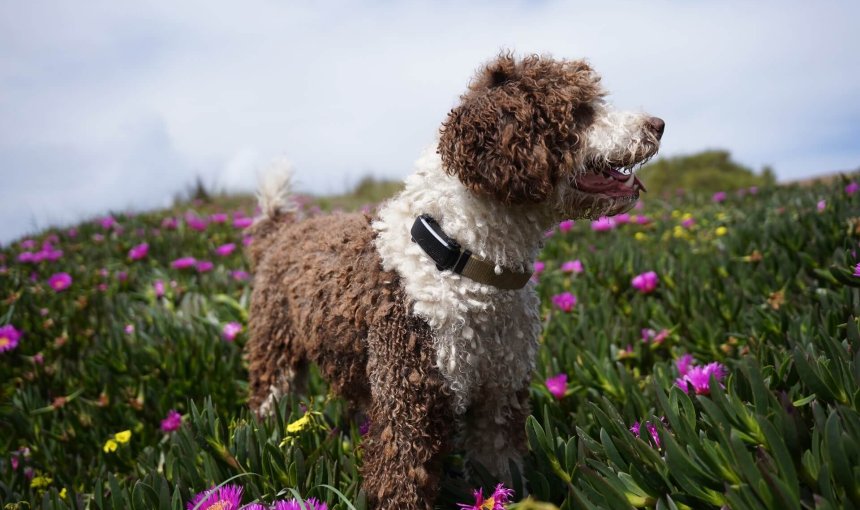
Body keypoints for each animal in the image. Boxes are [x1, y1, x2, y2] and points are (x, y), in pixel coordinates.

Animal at [245, 53, 660, 508]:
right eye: (580, 111)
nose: (657, 125)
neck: (466, 262)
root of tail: (280, 230)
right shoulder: (410, 406)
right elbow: (400, 485)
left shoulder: (499, 399)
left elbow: (502, 474)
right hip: (275, 355)